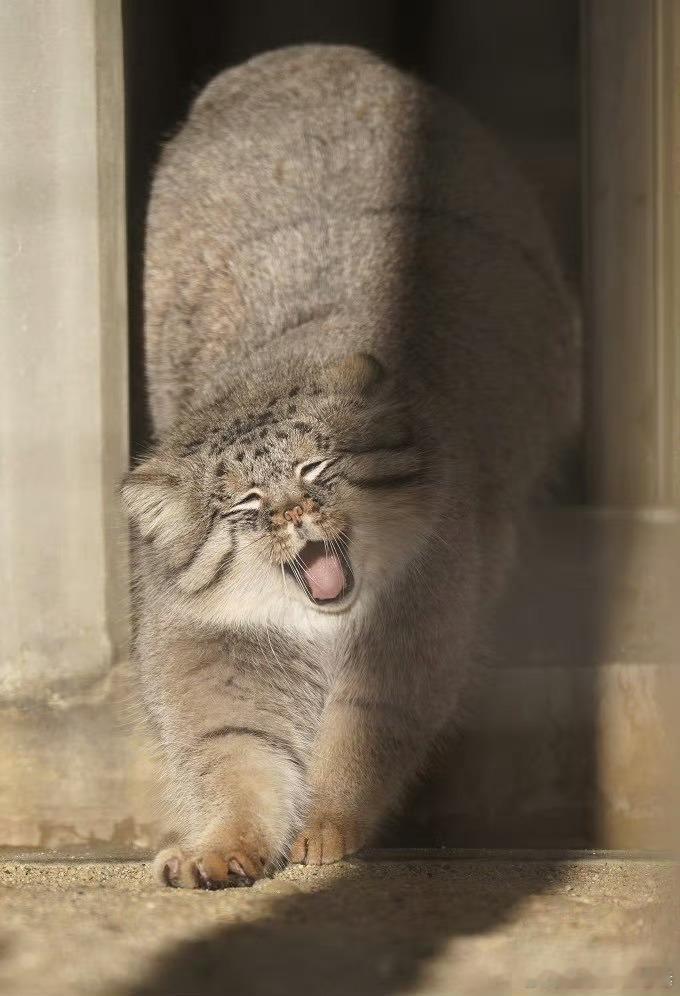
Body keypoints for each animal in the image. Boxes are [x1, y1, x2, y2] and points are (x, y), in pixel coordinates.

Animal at [123, 44, 580, 888]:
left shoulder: (421, 612)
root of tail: (310, 52)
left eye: (316, 469)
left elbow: (366, 730)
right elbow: (235, 748)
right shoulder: (217, 648)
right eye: (243, 506)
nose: (300, 518)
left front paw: (328, 824)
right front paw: (225, 844)